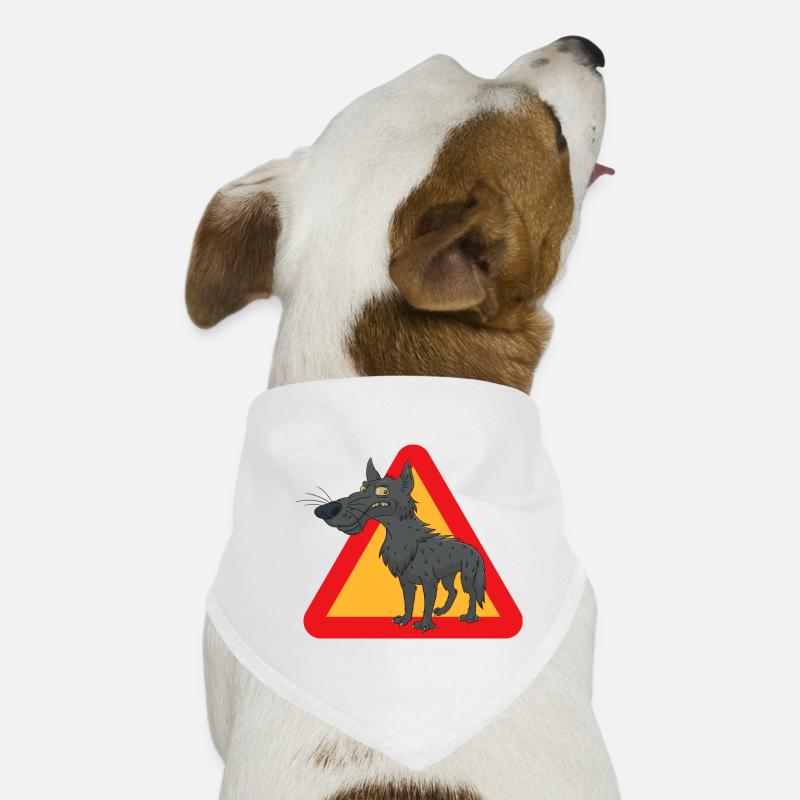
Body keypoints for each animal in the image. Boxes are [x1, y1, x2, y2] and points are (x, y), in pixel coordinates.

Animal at [314, 458, 485, 631]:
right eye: (362, 487)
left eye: (383, 491)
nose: (324, 510)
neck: (399, 539)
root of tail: (476, 551)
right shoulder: (406, 582)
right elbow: (408, 603)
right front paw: (405, 619)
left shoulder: (429, 581)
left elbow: (427, 604)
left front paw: (425, 624)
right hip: (447, 578)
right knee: (454, 591)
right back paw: (443, 611)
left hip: (467, 577)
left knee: (472, 594)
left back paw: (470, 617)